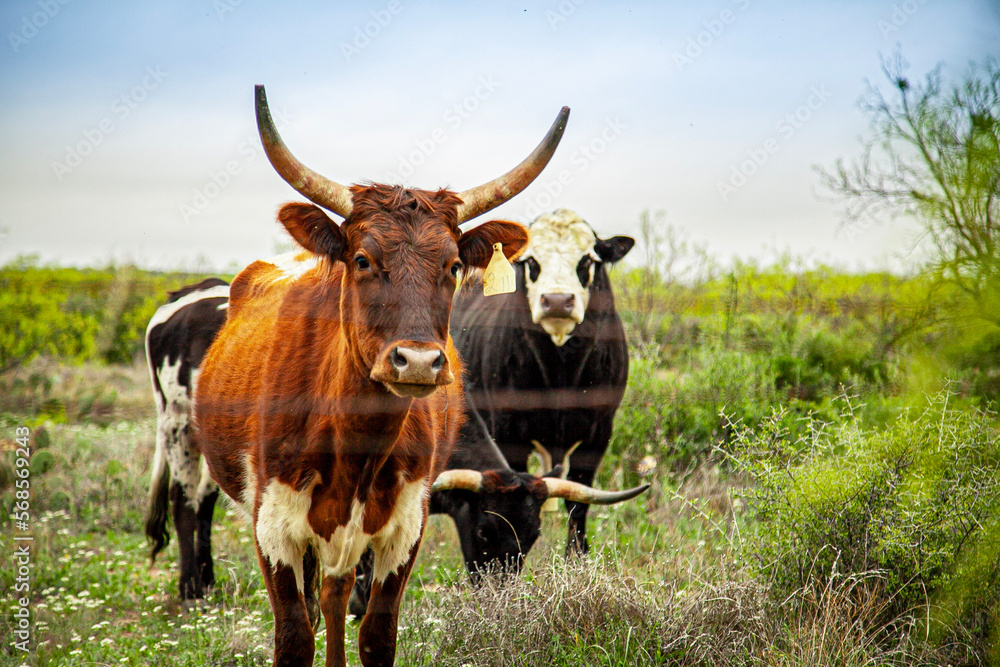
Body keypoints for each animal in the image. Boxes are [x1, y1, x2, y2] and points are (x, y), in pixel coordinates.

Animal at [191, 87, 568, 667]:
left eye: (454, 266)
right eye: (364, 259)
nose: (417, 361)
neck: (354, 441)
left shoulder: (403, 527)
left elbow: (376, 634)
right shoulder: (273, 528)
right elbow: (294, 638)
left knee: (336, 592)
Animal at [452, 207, 632, 552]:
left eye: (586, 260)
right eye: (531, 261)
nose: (558, 301)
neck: (560, 370)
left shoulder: (599, 432)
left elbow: (579, 500)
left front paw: (576, 555)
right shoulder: (508, 432)